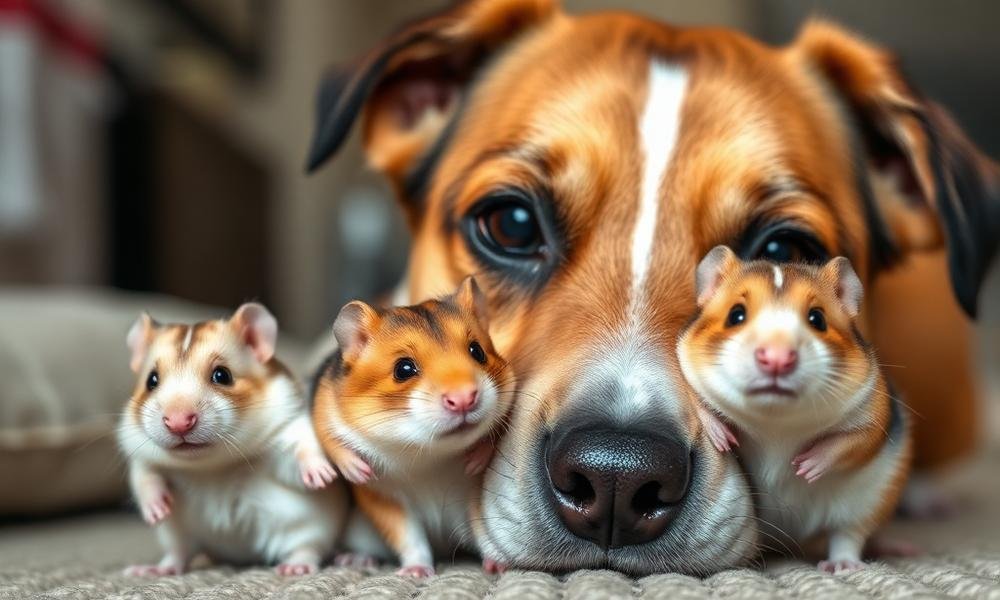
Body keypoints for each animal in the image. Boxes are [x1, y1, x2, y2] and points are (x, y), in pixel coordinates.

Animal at [117, 303, 347, 576]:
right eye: (151, 380)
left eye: (222, 375)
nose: (178, 422)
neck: (211, 465)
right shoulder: (139, 452)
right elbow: (145, 475)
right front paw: (158, 510)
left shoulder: (287, 429)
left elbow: (302, 451)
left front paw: (322, 476)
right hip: (177, 534)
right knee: (179, 553)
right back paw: (154, 570)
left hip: (309, 528)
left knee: (308, 548)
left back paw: (295, 567)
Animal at [311, 276, 513, 577]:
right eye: (403, 369)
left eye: (477, 351)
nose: (464, 398)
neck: (429, 457)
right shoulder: (383, 496)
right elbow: (409, 536)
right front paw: (417, 572)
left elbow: (484, 528)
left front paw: (499, 566)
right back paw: (355, 560)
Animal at [677, 246, 911, 574]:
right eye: (736, 315)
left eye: (818, 319)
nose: (777, 358)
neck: (776, 423)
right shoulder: (684, 369)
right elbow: (698, 403)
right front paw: (723, 438)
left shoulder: (874, 407)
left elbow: (857, 440)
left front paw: (806, 465)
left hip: (866, 502)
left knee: (847, 535)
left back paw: (846, 563)